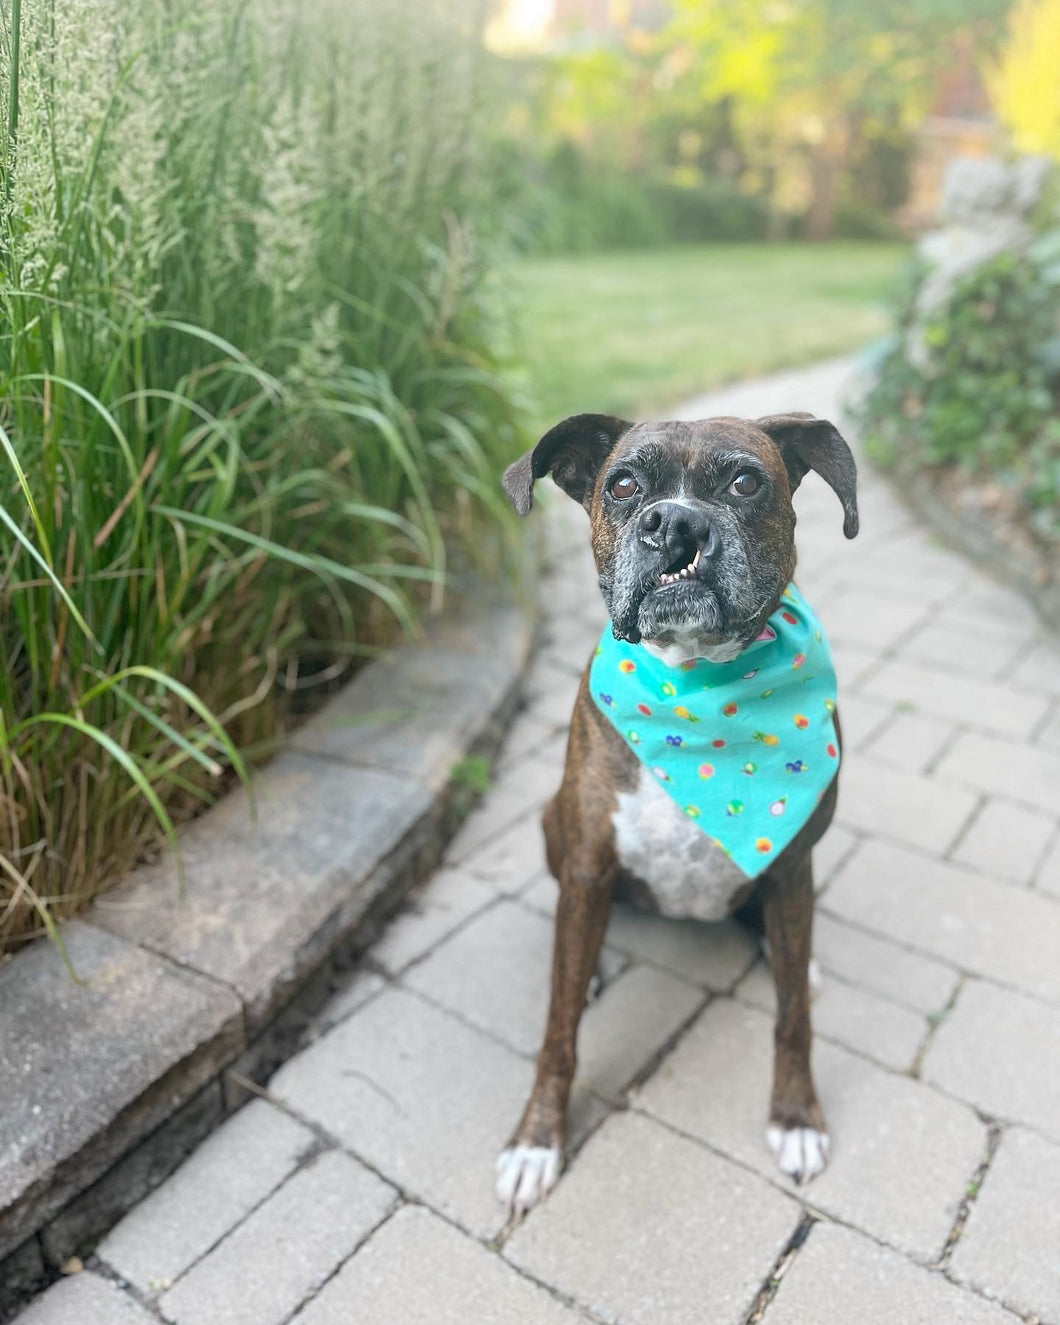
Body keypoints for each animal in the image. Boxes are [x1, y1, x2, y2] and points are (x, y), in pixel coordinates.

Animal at [492, 408, 858, 1213]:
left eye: (746, 482)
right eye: (624, 485)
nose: (676, 524)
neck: (696, 690)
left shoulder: (793, 866)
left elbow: (793, 1018)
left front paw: (796, 1118)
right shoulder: (589, 864)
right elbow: (559, 1029)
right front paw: (537, 1140)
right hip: (553, 827)